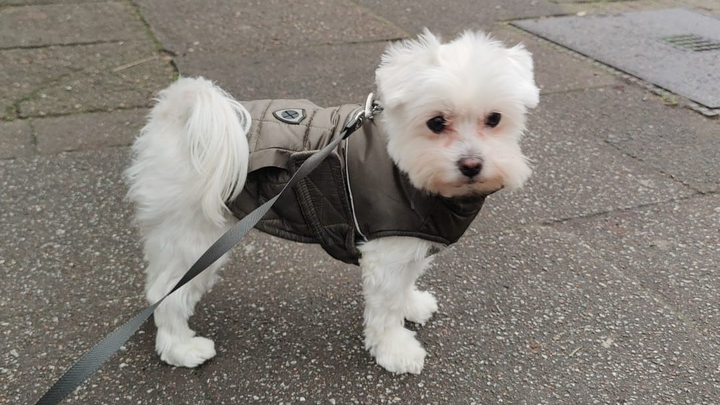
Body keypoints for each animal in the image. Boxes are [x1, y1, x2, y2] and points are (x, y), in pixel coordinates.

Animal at [125, 30, 539, 375]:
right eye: (436, 123)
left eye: (494, 118)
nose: (471, 165)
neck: (403, 166)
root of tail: (177, 115)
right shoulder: (386, 252)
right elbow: (386, 308)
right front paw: (396, 351)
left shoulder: (408, 240)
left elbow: (405, 285)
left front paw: (411, 305)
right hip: (194, 237)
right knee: (167, 293)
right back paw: (181, 349)